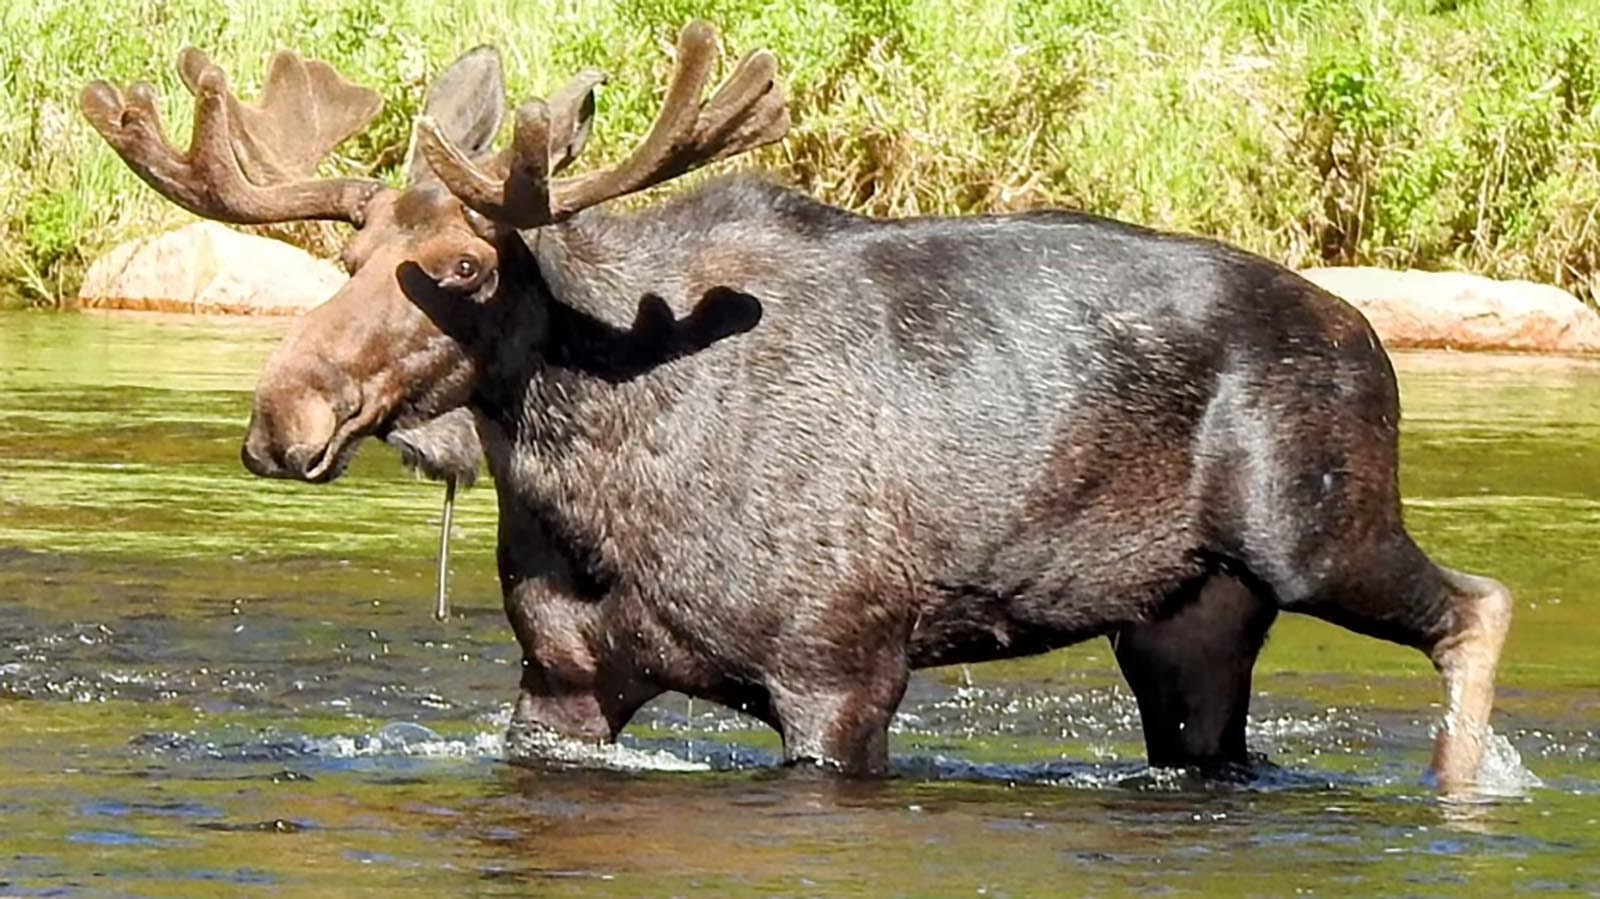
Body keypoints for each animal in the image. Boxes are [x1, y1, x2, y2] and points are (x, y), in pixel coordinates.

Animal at [84, 22, 1510, 790]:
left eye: (470, 268)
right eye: (348, 254)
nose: (283, 418)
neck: (596, 479)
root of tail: (1367, 336)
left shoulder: (844, 667)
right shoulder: (559, 682)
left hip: (1312, 527)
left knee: (1477, 603)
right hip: (1185, 624)